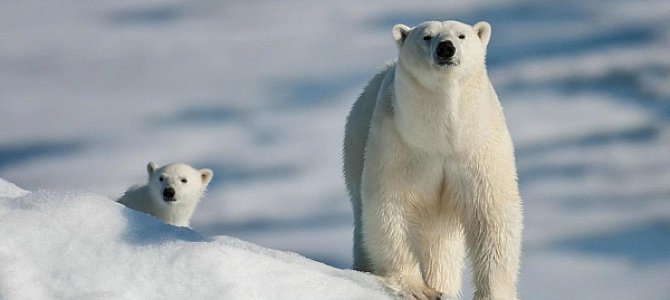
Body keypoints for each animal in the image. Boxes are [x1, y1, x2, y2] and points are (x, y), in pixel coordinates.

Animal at [346, 19, 524, 298]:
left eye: (461, 35)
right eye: (427, 36)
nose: (446, 48)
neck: (442, 137)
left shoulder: (477, 147)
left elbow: (492, 213)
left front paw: (492, 293)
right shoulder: (401, 143)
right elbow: (391, 205)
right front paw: (418, 288)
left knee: (440, 243)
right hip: (356, 148)